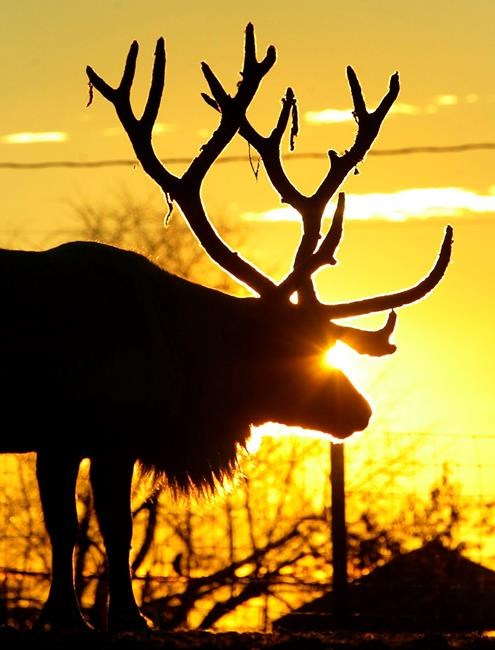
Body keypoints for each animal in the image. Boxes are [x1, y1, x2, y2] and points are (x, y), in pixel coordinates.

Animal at [0, 24, 452, 632]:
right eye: (291, 346)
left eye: (331, 344)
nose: (361, 411)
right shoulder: (73, 430)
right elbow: (78, 527)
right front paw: (81, 618)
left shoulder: (107, 438)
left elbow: (109, 528)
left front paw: (116, 616)